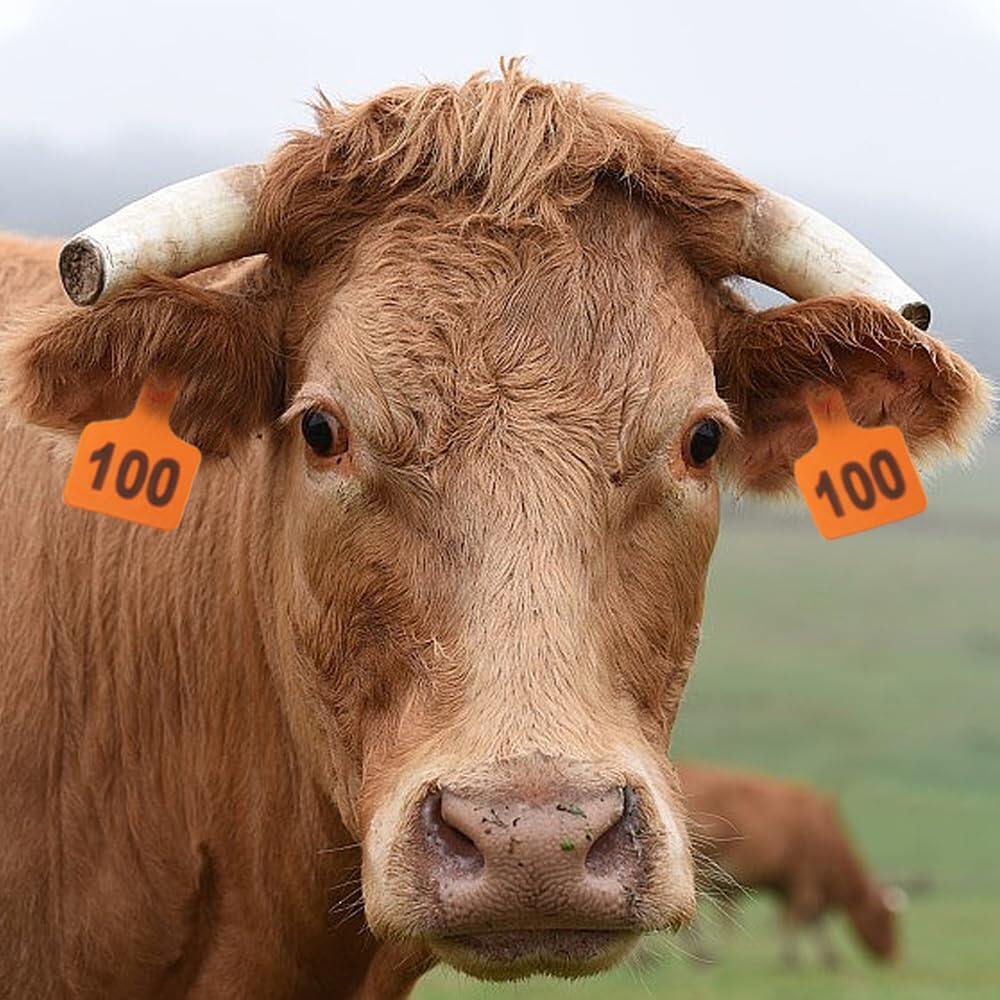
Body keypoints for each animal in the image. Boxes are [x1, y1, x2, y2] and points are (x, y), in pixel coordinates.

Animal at [679, 761, 903, 966]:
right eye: (883, 918)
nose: (894, 956)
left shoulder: (789, 884)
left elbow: (802, 919)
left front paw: (828, 958)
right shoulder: (807, 878)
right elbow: (802, 916)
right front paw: (794, 958)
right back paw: (702, 956)